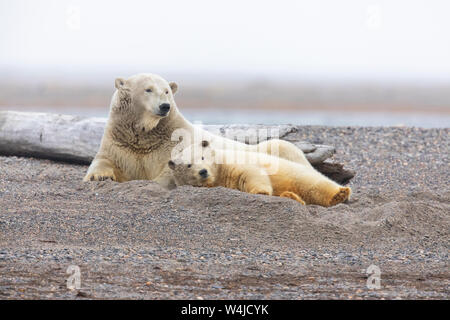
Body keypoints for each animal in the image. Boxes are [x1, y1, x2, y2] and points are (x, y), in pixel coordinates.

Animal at [82, 73, 312, 188]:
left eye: (167, 90)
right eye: (148, 89)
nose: (165, 106)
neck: (146, 135)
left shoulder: (175, 142)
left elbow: (169, 168)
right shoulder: (119, 141)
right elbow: (104, 159)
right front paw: (98, 177)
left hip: (283, 150)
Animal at [169, 141, 352, 206]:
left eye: (202, 157)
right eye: (188, 165)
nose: (203, 171)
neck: (218, 174)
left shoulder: (232, 163)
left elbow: (251, 173)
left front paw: (261, 192)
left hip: (296, 172)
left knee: (314, 184)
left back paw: (339, 194)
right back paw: (291, 196)